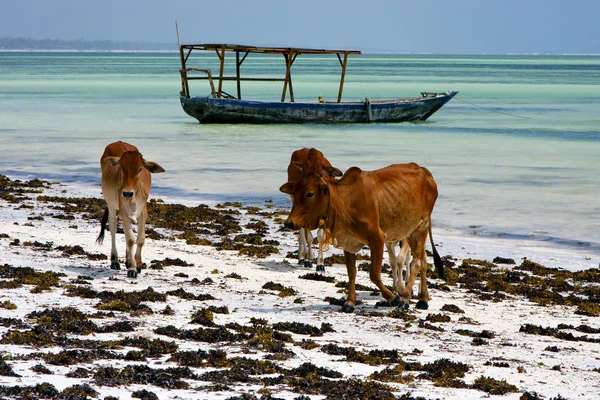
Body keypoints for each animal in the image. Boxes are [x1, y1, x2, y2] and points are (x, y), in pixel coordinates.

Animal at [97, 141, 165, 278]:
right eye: (122, 168)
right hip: (111, 205)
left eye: (140, 169)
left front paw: (137, 264)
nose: (127, 193)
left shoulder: (143, 211)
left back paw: (128, 260)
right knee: (113, 227)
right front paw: (132, 268)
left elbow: (140, 239)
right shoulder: (123, 209)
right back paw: (115, 261)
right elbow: (130, 238)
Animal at [278, 150, 442, 312]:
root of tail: (424, 171)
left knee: (417, 262)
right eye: (295, 193)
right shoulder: (348, 241)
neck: (345, 200)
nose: (289, 223)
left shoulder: (378, 239)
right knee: (422, 261)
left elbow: (374, 274)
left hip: (421, 227)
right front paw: (350, 302)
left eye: (310, 193)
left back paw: (405, 299)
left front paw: (393, 298)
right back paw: (423, 299)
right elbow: (351, 272)